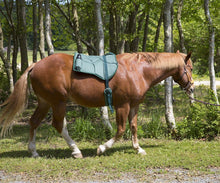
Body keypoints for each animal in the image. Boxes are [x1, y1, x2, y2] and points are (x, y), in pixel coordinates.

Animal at [0, 51, 193, 157]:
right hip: (58, 102)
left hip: (45, 102)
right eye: (190, 68)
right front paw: (102, 148)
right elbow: (121, 130)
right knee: (58, 125)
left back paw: (33, 151)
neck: (137, 70)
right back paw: (76, 150)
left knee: (34, 122)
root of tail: (36, 64)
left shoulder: (134, 105)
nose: (191, 87)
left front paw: (138, 148)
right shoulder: (122, 105)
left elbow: (133, 127)